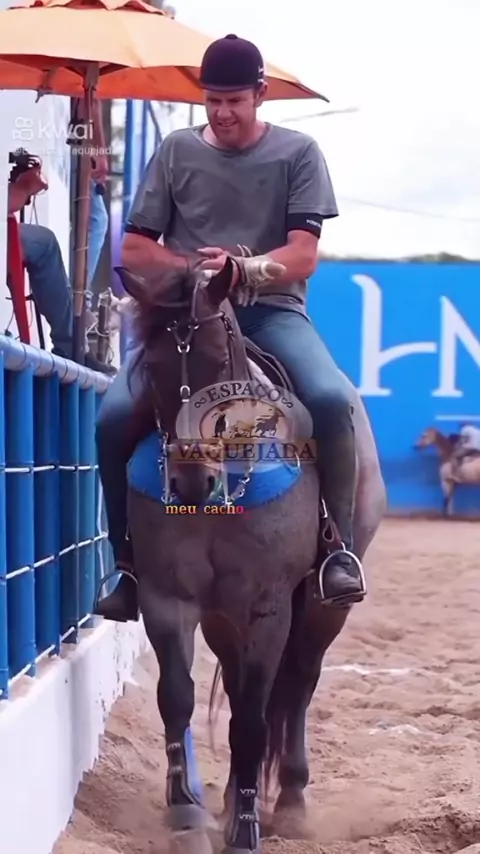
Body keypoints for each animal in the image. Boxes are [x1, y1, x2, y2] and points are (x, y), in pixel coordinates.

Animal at [116, 256, 386, 854]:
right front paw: (186, 811)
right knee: (244, 689)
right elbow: (178, 698)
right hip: (224, 618)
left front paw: (245, 830)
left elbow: (256, 721)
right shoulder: (168, 598)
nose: (192, 480)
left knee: (297, 687)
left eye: (221, 359)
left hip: (321, 609)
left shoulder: (269, 608)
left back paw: (289, 804)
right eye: (153, 365)